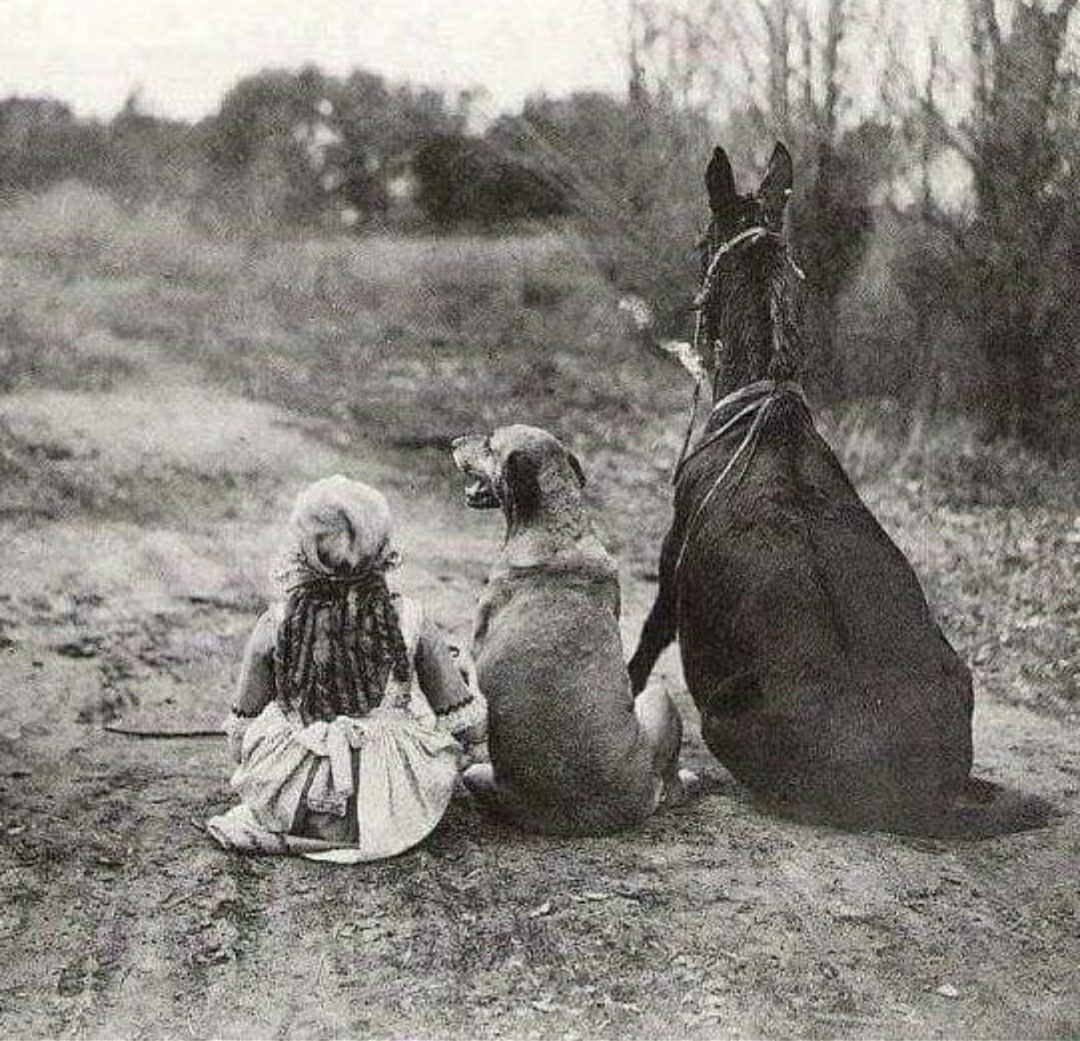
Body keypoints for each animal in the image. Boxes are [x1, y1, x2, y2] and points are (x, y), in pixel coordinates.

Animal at [630, 140, 1049, 837]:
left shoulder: (669, 578)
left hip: (721, 720)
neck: (766, 396)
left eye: (699, 241)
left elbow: (637, 653)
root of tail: (917, 791)